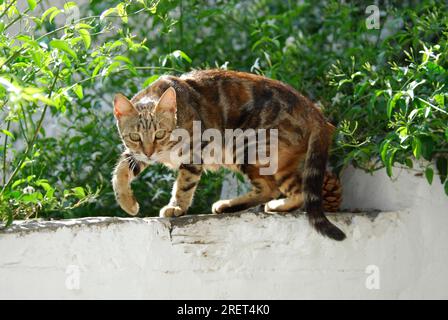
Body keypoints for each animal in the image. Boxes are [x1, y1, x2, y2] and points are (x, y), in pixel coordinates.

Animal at [112, 69, 346, 240]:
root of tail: (316, 113)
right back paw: (238, 206)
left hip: (247, 146)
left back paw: (253, 205)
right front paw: (128, 203)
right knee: (281, 189)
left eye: (159, 134)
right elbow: (120, 172)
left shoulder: (195, 150)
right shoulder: (136, 154)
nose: (149, 151)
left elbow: (184, 184)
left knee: (281, 190)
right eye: (135, 136)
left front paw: (176, 206)